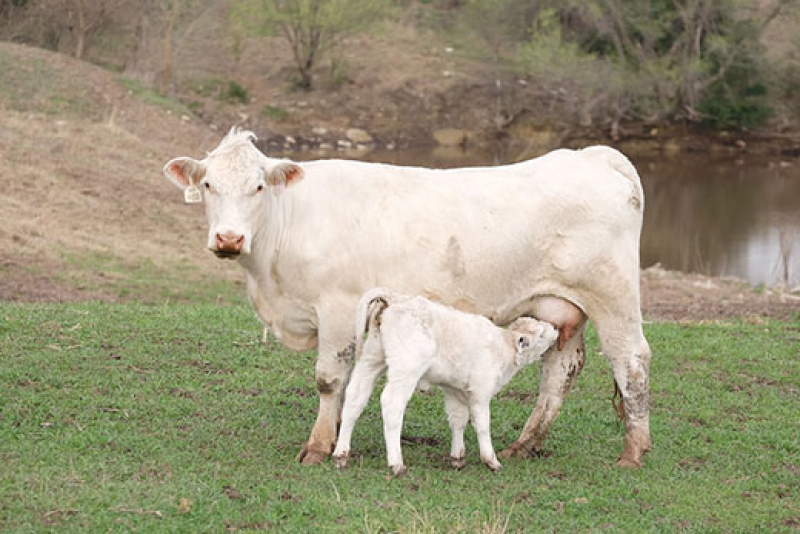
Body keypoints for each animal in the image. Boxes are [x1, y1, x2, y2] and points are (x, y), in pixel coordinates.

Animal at [332, 289, 559, 475]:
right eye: (541, 333)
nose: (555, 328)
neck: (504, 346)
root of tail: (395, 298)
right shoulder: (481, 390)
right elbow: (482, 423)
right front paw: (491, 460)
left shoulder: (455, 390)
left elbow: (458, 420)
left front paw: (457, 457)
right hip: (406, 368)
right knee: (392, 403)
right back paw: (396, 463)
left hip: (371, 360)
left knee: (355, 398)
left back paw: (341, 455)